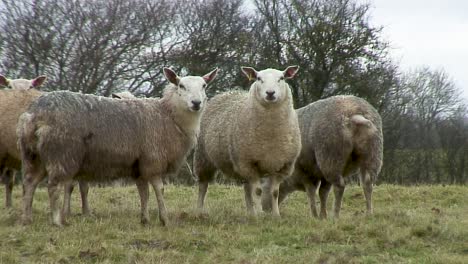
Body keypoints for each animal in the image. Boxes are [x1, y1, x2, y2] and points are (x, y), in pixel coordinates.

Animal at [16, 67, 218, 226]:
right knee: (53, 186)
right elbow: (158, 189)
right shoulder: (153, 160)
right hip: (61, 153)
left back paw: (26, 218)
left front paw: (145, 219)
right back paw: (57, 221)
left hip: (33, 156)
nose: (196, 103)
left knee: (29, 183)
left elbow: (143, 192)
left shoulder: (139, 164)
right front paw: (164, 219)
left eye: (204, 86)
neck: (168, 115)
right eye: (181, 86)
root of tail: (34, 114)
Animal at [193, 66, 300, 217]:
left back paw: (251, 213)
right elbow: (258, 191)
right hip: (204, 157)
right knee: (203, 186)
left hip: (240, 164)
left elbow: (274, 192)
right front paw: (261, 214)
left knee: (247, 189)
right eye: (259, 78)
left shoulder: (282, 165)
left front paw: (275, 215)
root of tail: (227, 92)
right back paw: (199, 210)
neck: (270, 135)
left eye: (282, 78)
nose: (270, 93)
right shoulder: (250, 163)